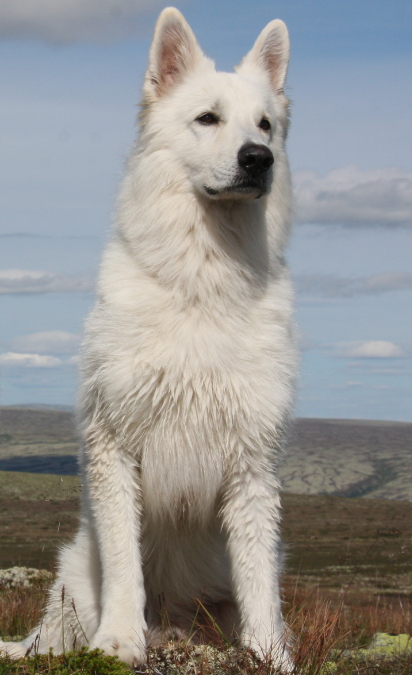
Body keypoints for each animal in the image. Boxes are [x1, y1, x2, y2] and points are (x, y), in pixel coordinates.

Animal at [0, 7, 296, 672]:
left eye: (265, 124)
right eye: (207, 118)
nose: (258, 158)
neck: (201, 285)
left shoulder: (253, 464)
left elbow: (259, 581)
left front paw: (271, 656)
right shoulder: (115, 445)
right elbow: (125, 565)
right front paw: (120, 640)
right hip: (71, 586)